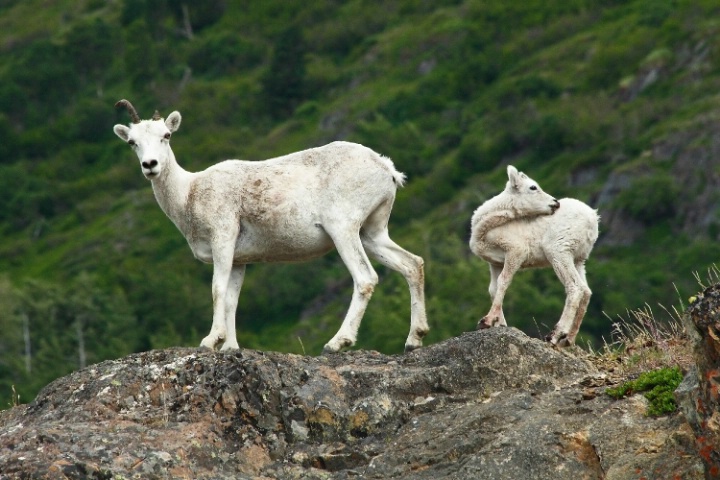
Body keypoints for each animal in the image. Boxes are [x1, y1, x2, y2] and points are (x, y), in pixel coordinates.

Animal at [112, 98, 428, 352]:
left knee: (365, 278)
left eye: (166, 135)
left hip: (343, 229)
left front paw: (210, 341)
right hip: (372, 233)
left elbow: (217, 289)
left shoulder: (223, 239)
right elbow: (232, 299)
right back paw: (414, 339)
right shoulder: (240, 260)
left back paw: (336, 343)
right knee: (413, 264)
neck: (189, 193)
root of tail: (386, 168)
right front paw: (230, 347)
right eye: (132, 142)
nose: (150, 165)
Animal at [470, 165, 600, 344]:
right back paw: (568, 340)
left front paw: (487, 321)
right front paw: (499, 324)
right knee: (586, 291)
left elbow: (504, 281)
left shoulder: (516, 250)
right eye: (533, 187)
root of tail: (593, 220)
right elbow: (493, 288)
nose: (555, 203)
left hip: (559, 251)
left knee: (575, 288)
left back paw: (555, 335)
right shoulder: (495, 263)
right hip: (579, 259)